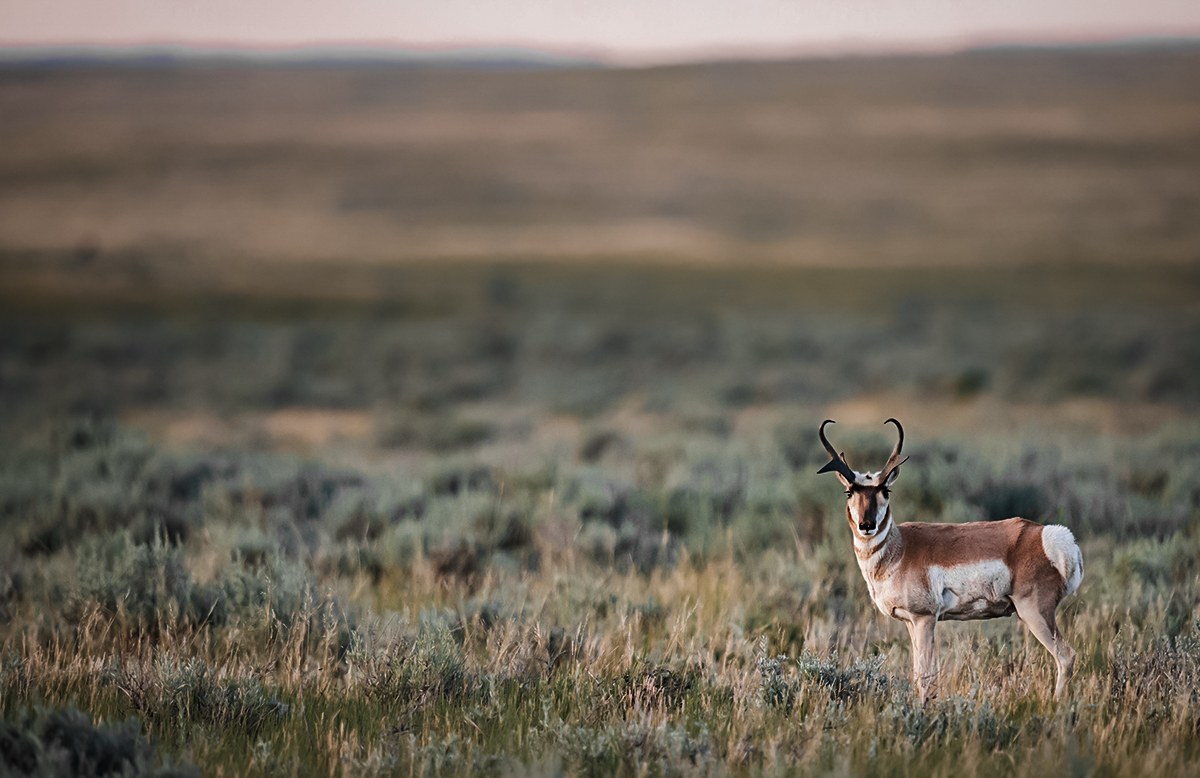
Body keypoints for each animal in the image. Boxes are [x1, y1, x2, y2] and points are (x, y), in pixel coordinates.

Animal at [816, 420, 1089, 701]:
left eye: (886, 490)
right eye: (849, 492)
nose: (867, 525)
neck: (900, 548)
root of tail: (1050, 537)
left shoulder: (925, 619)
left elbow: (924, 678)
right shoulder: (911, 623)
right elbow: (920, 674)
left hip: (1034, 612)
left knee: (1066, 656)